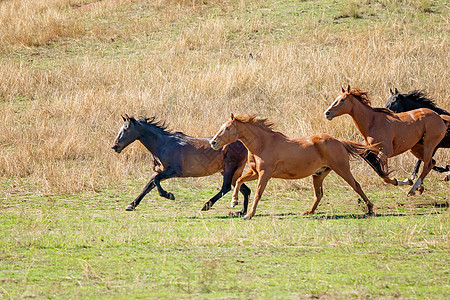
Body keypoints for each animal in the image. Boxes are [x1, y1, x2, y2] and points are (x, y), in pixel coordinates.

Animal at [109, 113, 250, 213]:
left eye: (126, 129)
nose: (115, 146)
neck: (164, 144)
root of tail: (243, 143)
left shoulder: (173, 171)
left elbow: (155, 181)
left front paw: (169, 195)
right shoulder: (162, 171)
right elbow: (148, 185)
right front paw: (131, 205)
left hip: (229, 168)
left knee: (226, 187)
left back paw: (206, 205)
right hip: (232, 172)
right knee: (244, 188)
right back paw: (242, 211)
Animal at [207, 112, 386, 220]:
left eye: (227, 128)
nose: (213, 142)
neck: (262, 144)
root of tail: (339, 141)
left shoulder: (265, 174)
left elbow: (257, 193)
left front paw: (248, 214)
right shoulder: (255, 172)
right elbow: (238, 181)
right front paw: (234, 202)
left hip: (342, 169)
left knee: (356, 185)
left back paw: (370, 209)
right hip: (318, 174)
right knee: (319, 194)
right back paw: (309, 212)